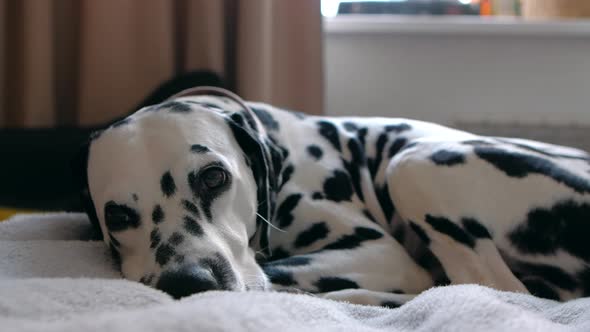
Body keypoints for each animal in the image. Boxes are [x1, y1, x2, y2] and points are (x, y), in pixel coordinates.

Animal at [74, 87, 590, 308]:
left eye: (214, 177)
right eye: (117, 215)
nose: (189, 281)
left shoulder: (380, 253)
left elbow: (277, 273)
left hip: (414, 163)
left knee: (493, 287)